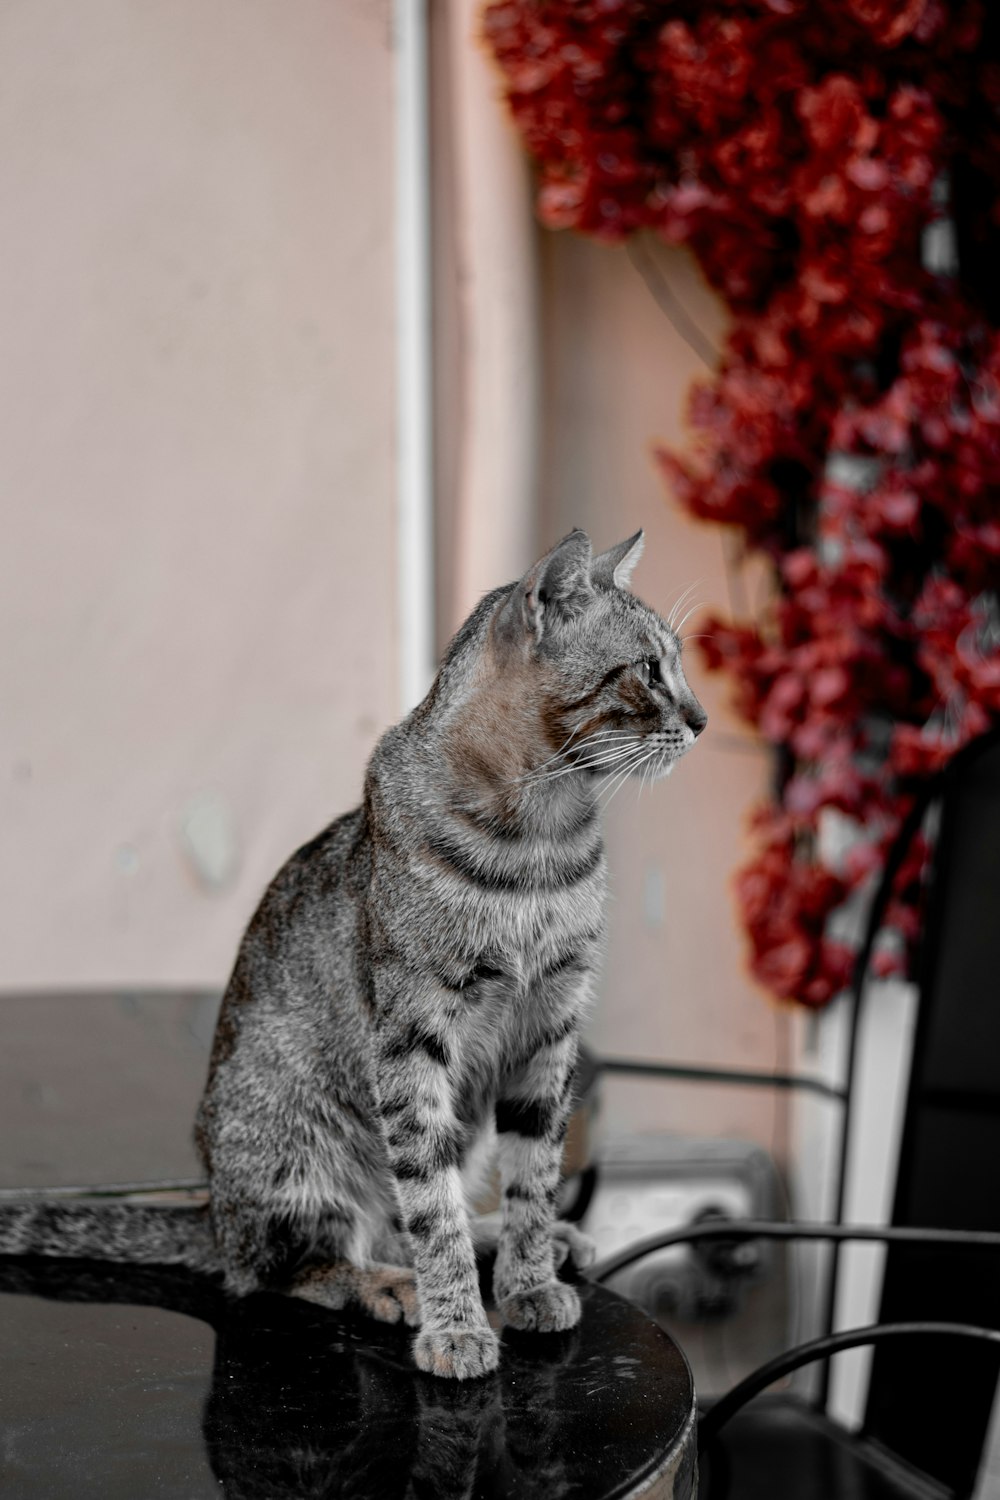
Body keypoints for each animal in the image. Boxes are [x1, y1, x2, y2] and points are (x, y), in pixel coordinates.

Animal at [1, 528, 704, 1380]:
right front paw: (457, 1323)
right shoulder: (412, 1037)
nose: (703, 719)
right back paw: (385, 1284)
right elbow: (430, 1204)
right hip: (297, 1141)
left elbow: (534, 1174)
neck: (543, 834)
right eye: (648, 669)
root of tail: (211, 1210)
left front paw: (529, 1278)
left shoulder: (550, 1025)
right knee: (282, 1265)